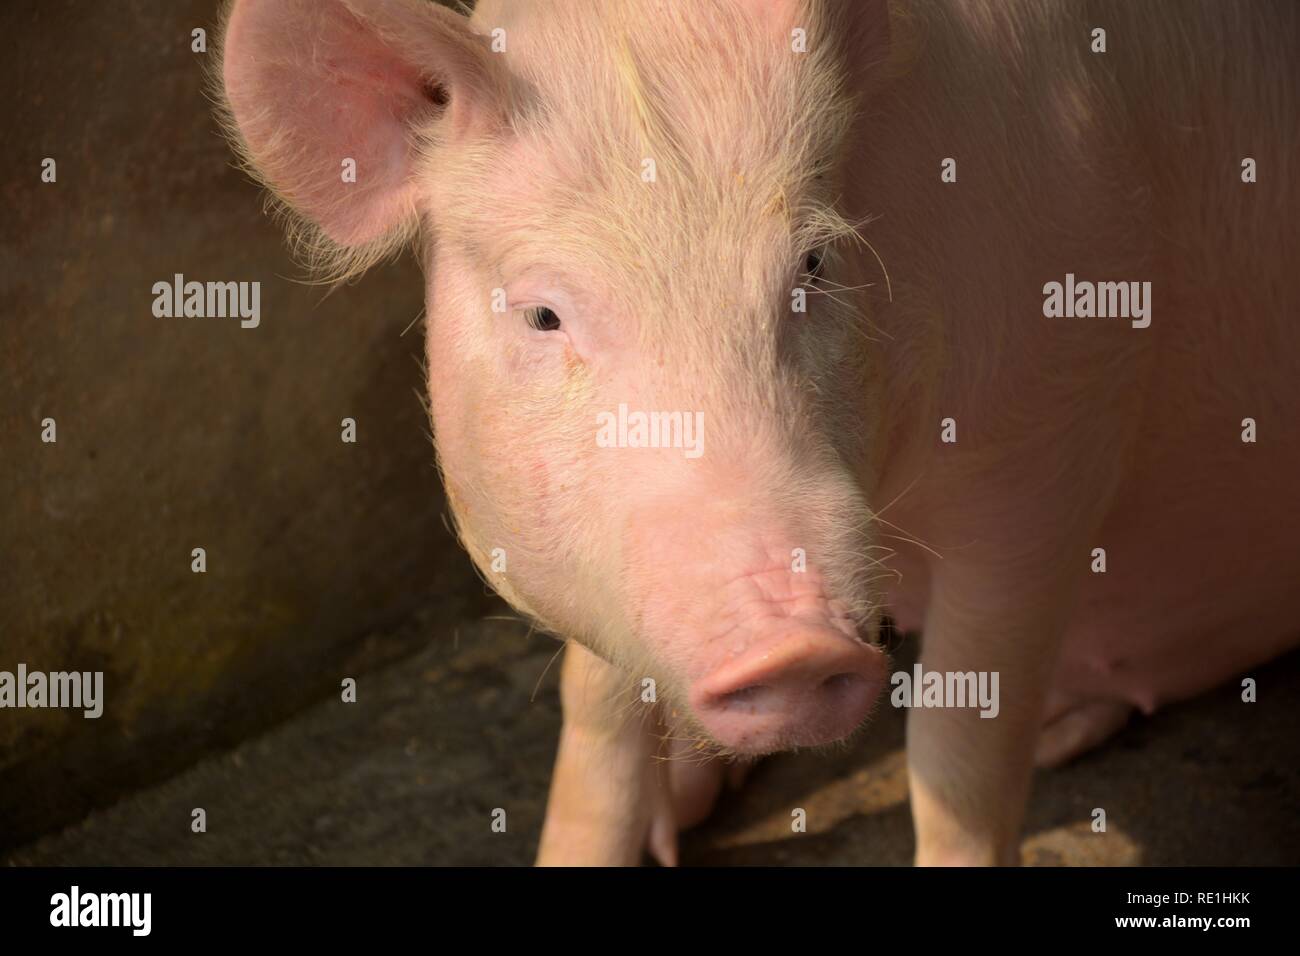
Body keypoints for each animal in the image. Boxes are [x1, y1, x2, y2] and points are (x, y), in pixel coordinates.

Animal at [215, 0, 1300, 868]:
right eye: (543, 316)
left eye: (813, 266)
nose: (793, 646)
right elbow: (594, 719)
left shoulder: (1057, 421)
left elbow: (955, 750)